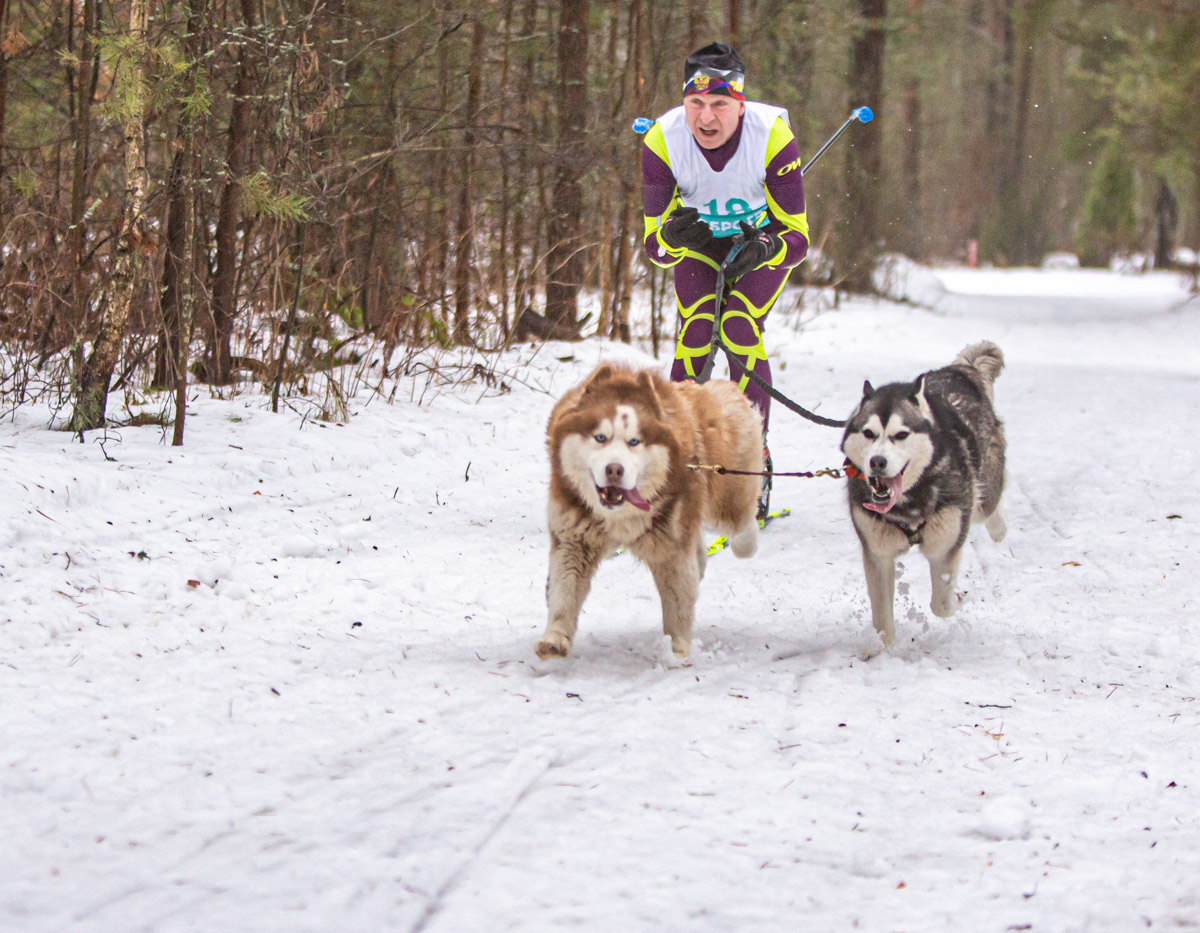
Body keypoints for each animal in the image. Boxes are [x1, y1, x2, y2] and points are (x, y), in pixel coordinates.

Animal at [537, 359, 763, 657]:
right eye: (600, 437)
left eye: (634, 441)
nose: (614, 469)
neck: (619, 516)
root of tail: (706, 387)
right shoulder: (575, 540)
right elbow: (564, 591)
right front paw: (555, 637)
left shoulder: (672, 548)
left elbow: (677, 605)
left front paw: (677, 652)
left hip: (728, 494)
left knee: (740, 524)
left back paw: (747, 540)